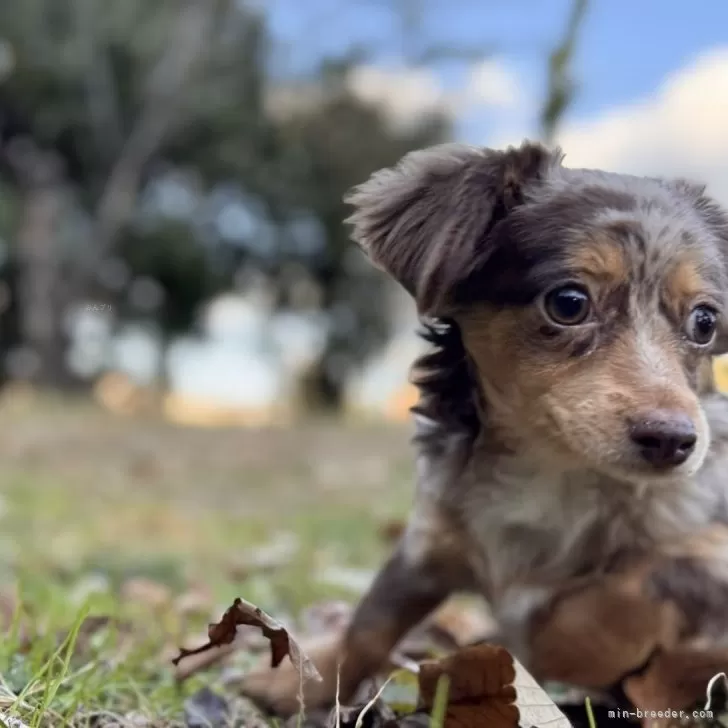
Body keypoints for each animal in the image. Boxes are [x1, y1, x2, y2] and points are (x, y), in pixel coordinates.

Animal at [242, 142, 728, 716]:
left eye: (705, 322)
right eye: (569, 303)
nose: (674, 441)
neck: (551, 471)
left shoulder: (708, 555)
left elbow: (623, 589)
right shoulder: (431, 541)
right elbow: (371, 622)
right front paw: (305, 684)